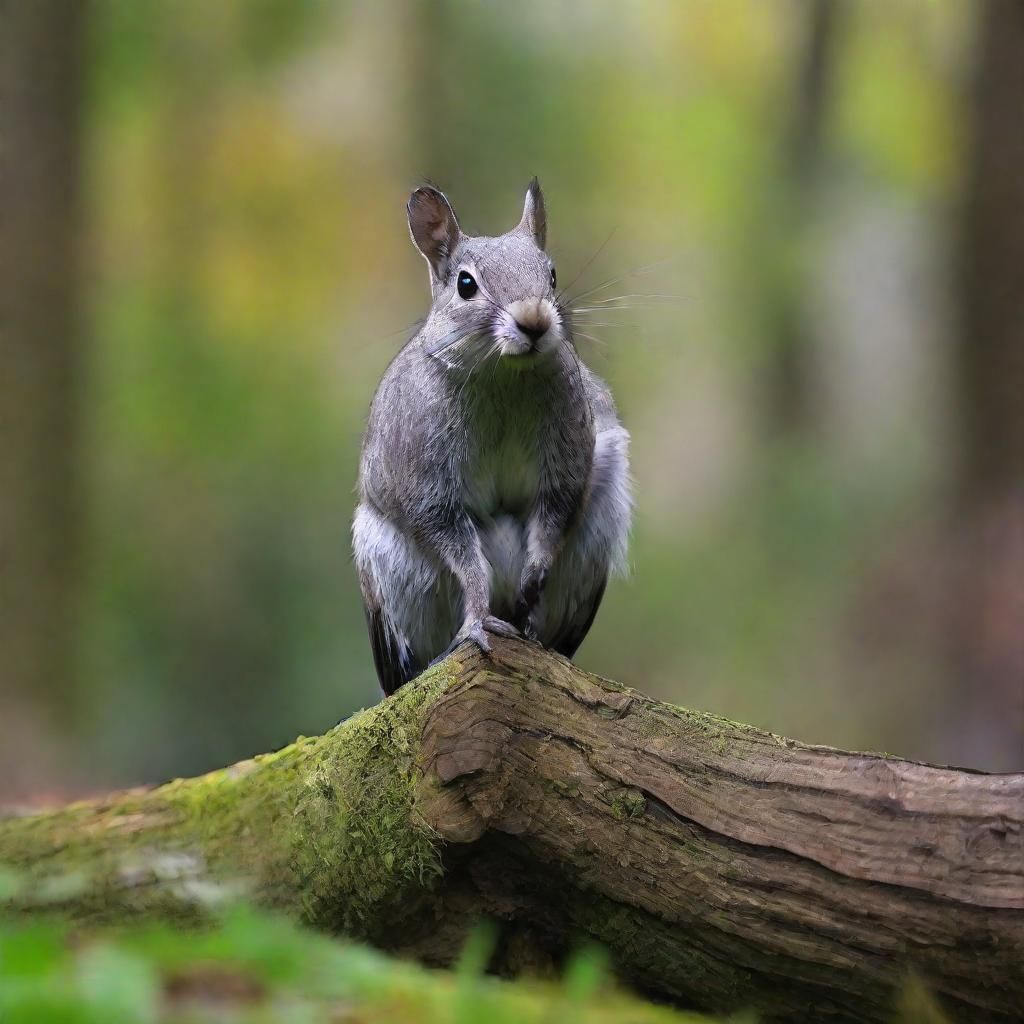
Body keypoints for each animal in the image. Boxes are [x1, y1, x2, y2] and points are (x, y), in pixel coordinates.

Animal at [353, 180, 632, 695]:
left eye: (553, 275)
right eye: (466, 285)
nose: (534, 320)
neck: (505, 377)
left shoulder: (567, 457)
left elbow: (554, 516)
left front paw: (534, 577)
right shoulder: (425, 477)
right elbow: (462, 557)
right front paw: (479, 620)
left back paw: (532, 631)